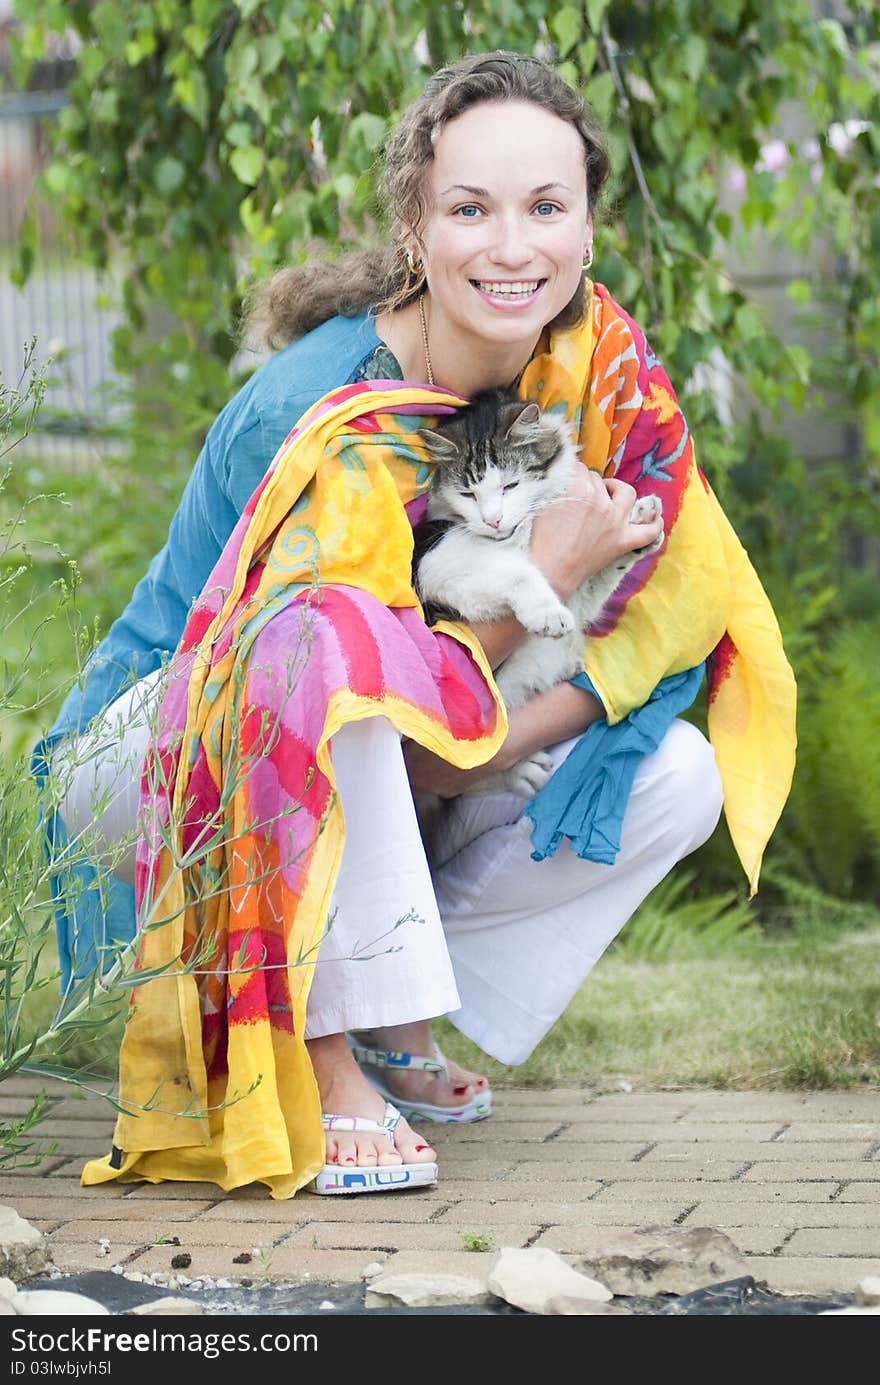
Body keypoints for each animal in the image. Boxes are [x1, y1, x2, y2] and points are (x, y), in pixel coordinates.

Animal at [412, 387, 659, 803]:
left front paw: (640, 519)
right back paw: (523, 774)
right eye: (468, 493)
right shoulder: (440, 565)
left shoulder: (579, 592)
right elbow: (520, 572)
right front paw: (547, 614)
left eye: (510, 486)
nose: (493, 520)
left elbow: (599, 580)